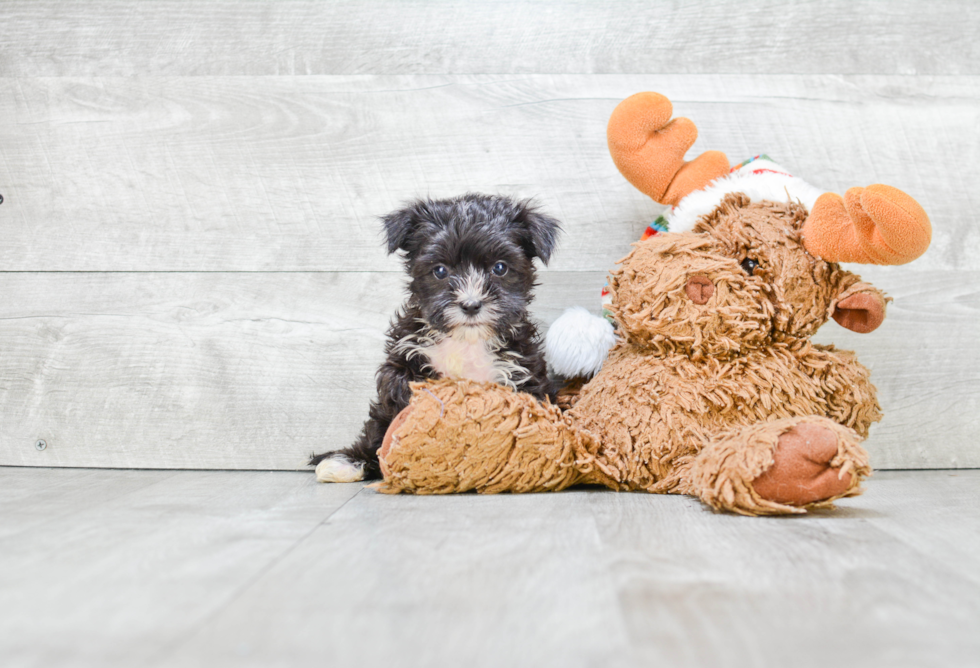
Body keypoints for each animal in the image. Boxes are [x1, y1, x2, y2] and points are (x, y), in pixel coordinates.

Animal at [310, 192, 564, 480]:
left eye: (500, 268)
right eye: (440, 271)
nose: (471, 305)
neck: (466, 342)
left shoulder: (523, 371)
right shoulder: (403, 355)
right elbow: (398, 391)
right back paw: (348, 461)